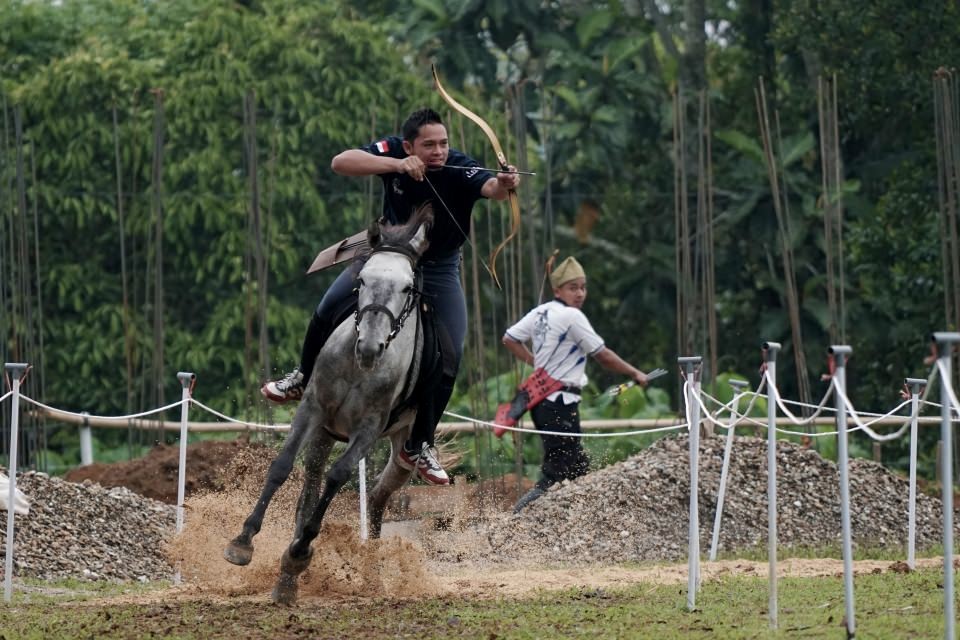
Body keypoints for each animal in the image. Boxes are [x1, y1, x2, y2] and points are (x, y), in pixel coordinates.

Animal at [221, 206, 432, 604]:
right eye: (362, 279)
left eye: (407, 287)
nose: (370, 347)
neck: (357, 366)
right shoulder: (312, 408)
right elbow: (282, 465)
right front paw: (243, 541)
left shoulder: (368, 429)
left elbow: (339, 476)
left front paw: (301, 550)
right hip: (324, 431)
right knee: (313, 482)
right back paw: (288, 580)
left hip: (402, 449)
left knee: (377, 495)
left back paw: (366, 573)